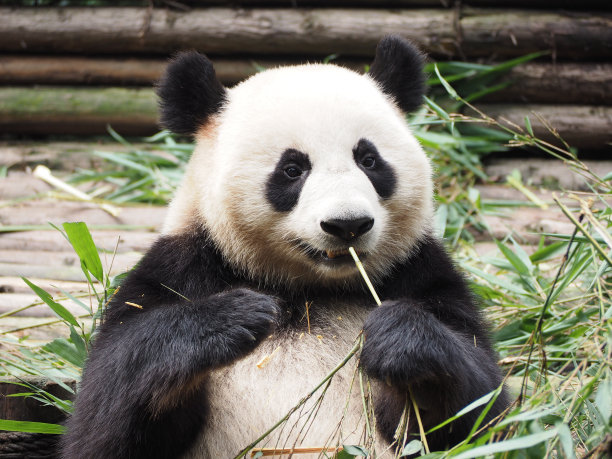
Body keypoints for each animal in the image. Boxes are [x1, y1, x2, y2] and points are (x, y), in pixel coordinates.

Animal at [62, 36, 510, 459]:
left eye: (369, 160)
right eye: (292, 169)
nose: (347, 225)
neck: (305, 290)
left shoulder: (420, 272)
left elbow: (478, 409)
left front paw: (397, 336)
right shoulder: (181, 268)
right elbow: (103, 418)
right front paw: (234, 317)